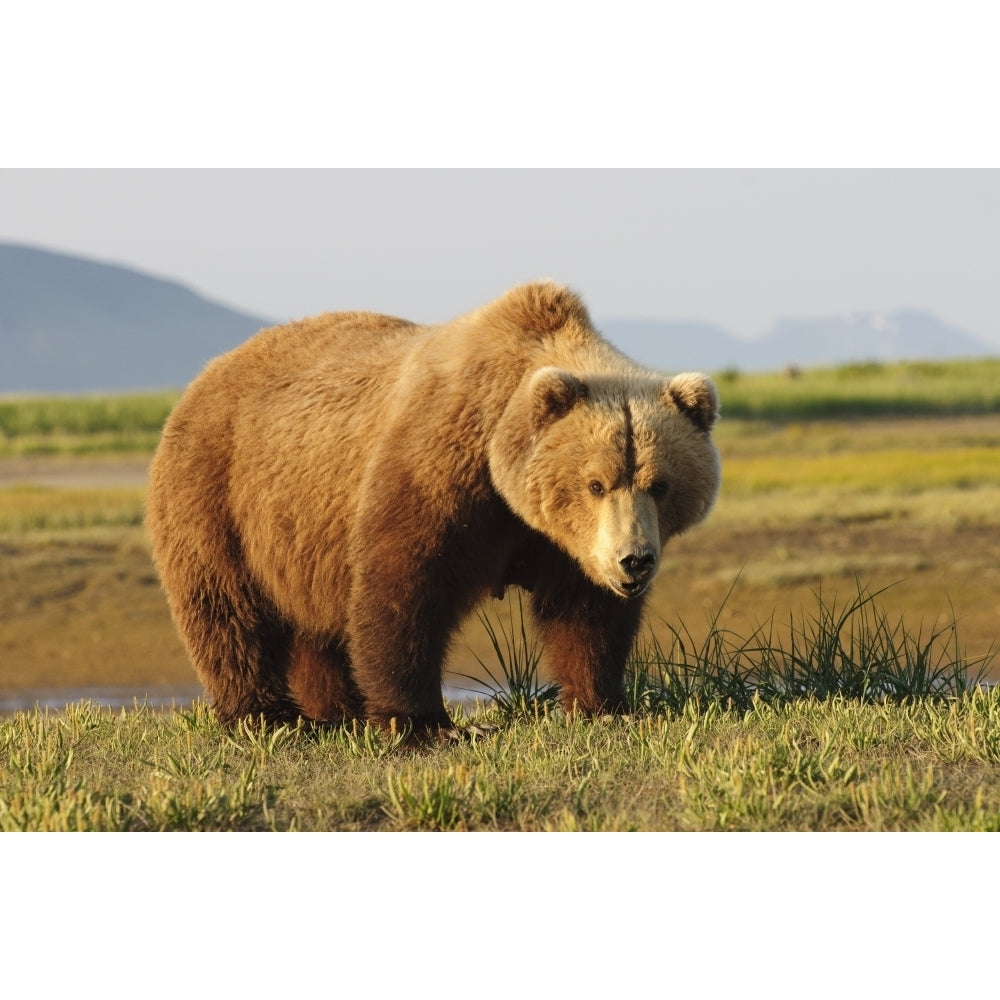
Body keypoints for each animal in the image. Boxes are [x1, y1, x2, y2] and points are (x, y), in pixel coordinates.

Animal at [146, 280, 720, 736]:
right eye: (595, 483)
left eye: (660, 484)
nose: (634, 561)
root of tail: (206, 374)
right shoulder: (443, 466)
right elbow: (405, 585)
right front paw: (424, 724)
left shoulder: (564, 541)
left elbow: (585, 612)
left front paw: (602, 704)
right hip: (217, 490)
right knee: (227, 609)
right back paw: (264, 715)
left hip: (302, 536)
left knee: (315, 624)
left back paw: (336, 710)